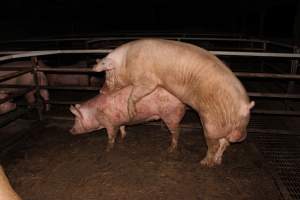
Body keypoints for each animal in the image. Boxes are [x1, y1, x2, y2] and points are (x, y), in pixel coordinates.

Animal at [92, 38, 254, 166]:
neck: (126, 61)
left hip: (210, 124)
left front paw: (132, 112)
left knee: (214, 145)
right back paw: (217, 162)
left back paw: (204, 163)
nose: (100, 91)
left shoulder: (146, 81)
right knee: (224, 143)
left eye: (107, 73)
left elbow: (136, 93)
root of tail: (245, 107)